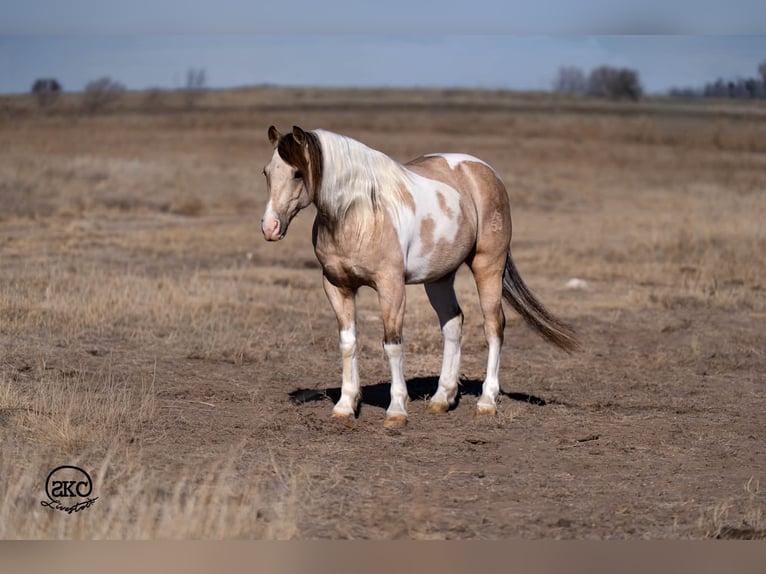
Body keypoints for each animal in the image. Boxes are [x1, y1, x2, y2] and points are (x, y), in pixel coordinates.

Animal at [261, 125, 577, 428]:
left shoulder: (390, 286)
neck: (360, 215)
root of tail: (486, 172)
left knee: (493, 327)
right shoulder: (337, 286)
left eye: (298, 173)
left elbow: (392, 345)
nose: (270, 227)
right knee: (453, 323)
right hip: (439, 278)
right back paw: (442, 398)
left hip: (488, 267)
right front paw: (344, 406)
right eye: (267, 172)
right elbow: (348, 343)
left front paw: (396, 411)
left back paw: (486, 402)